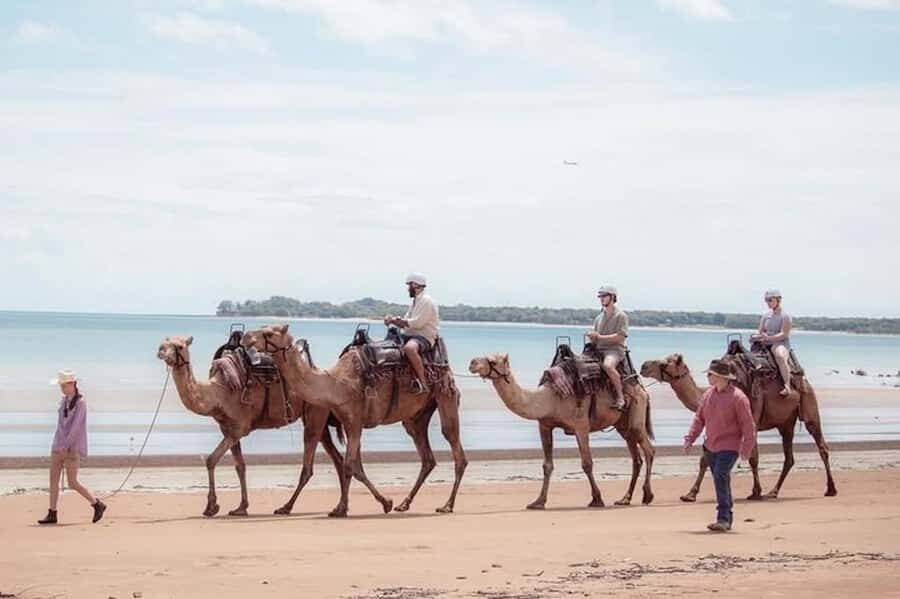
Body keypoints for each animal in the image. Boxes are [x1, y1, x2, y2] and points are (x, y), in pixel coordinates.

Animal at [156, 335, 350, 517]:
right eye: (164, 343)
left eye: (179, 346)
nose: (160, 352)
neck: (218, 392)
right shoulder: (226, 428)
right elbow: (240, 466)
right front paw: (241, 507)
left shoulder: (239, 428)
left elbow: (211, 459)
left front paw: (211, 507)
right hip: (320, 420)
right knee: (338, 460)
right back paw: (340, 508)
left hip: (314, 414)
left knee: (308, 467)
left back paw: (286, 507)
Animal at [241, 324, 468, 517]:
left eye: (269, 333)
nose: (245, 337)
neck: (336, 383)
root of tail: (445, 365)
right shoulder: (349, 422)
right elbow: (352, 465)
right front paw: (346, 507)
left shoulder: (356, 420)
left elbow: (350, 465)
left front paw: (373, 504)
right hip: (416, 415)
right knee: (426, 454)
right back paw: (405, 504)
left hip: (445, 394)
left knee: (453, 442)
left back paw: (447, 505)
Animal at [468, 353, 655, 509]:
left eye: (492, 361)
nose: (472, 363)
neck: (549, 398)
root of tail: (641, 388)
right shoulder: (544, 425)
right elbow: (547, 465)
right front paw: (538, 502)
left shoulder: (581, 425)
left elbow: (587, 463)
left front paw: (597, 499)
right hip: (622, 425)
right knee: (636, 458)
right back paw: (625, 499)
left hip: (636, 413)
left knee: (648, 450)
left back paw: (647, 495)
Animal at [640, 353, 837, 501]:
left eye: (665, 363)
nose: (643, 366)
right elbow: (705, 459)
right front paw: (690, 494)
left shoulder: (751, 422)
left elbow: (753, 458)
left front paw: (755, 492)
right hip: (786, 423)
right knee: (789, 457)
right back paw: (773, 492)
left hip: (809, 406)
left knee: (822, 445)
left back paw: (831, 489)